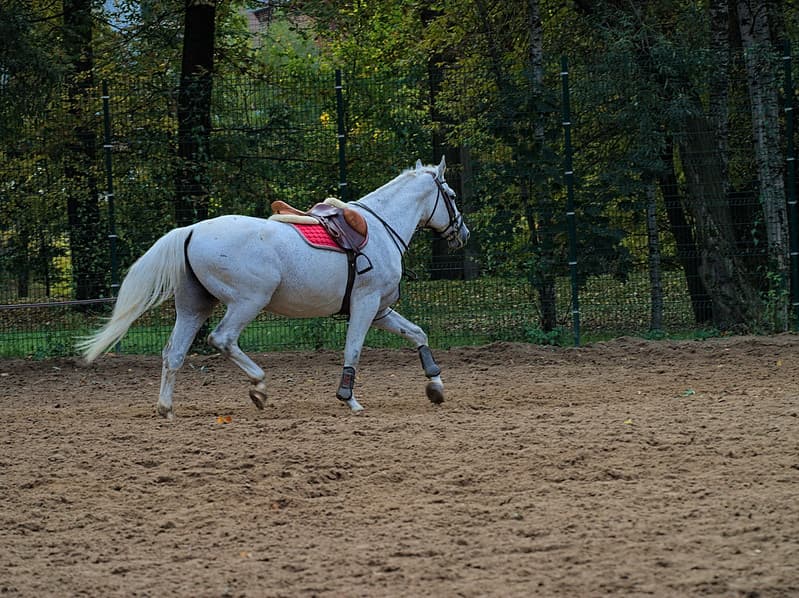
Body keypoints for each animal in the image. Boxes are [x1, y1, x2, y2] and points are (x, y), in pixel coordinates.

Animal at [77, 157, 470, 418]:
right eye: (451, 194)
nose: (463, 233)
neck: (379, 228)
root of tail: (190, 230)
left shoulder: (381, 309)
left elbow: (417, 334)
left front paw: (435, 387)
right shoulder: (366, 304)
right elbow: (353, 350)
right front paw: (349, 398)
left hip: (194, 307)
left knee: (173, 353)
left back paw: (167, 408)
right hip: (247, 302)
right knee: (222, 339)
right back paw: (259, 386)